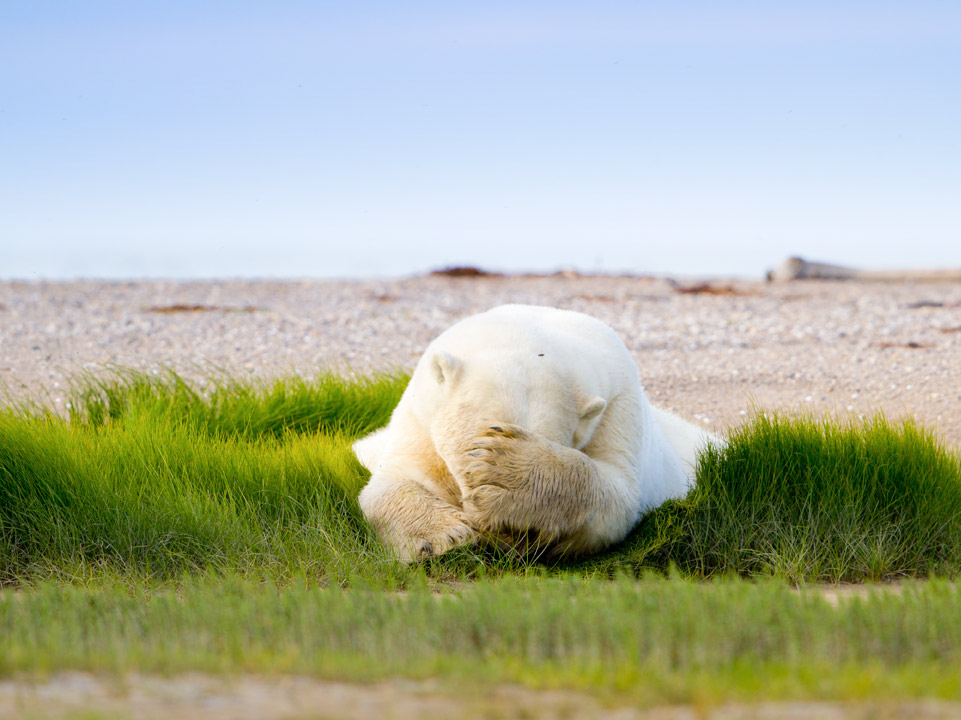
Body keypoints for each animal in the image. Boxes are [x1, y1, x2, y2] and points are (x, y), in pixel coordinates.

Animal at [356, 304, 716, 564]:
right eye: (470, 450)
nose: (505, 538)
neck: (525, 331)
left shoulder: (618, 405)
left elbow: (616, 493)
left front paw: (510, 477)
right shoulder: (421, 415)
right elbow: (393, 481)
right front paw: (448, 534)